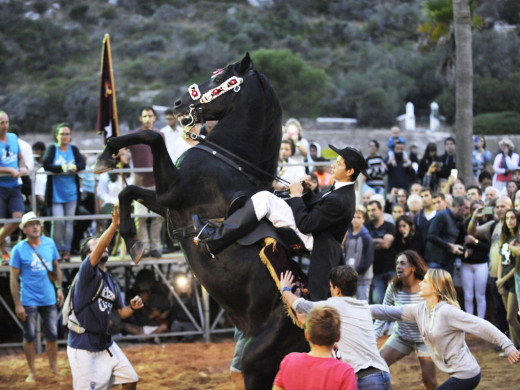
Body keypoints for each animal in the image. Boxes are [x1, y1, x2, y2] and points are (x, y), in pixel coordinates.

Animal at [94, 53, 308, 388]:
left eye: (220, 79)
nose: (179, 103)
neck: (229, 161)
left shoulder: (173, 189)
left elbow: (151, 137)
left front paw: (106, 155)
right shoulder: (168, 203)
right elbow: (129, 190)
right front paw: (132, 240)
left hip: (256, 363)